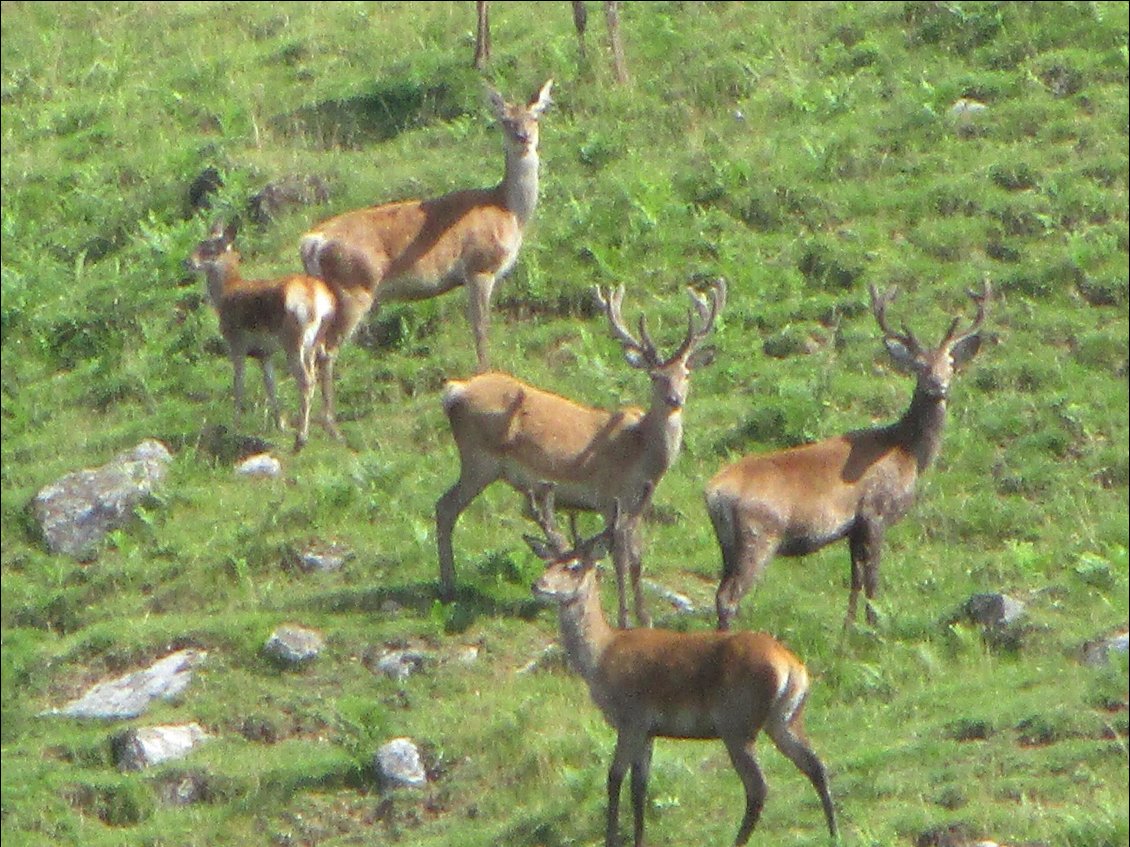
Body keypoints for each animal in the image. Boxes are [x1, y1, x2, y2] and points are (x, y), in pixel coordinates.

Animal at [186, 222, 339, 453]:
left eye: (210, 247)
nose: (188, 262)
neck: (226, 293)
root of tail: (317, 298)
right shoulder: (264, 352)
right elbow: (270, 384)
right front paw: (280, 425)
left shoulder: (236, 343)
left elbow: (238, 382)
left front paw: (234, 425)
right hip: (316, 341)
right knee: (320, 371)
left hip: (293, 340)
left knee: (306, 379)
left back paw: (301, 439)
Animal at [296, 76, 551, 424]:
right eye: (505, 120)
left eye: (535, 117)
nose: (523, 138)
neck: (507, 210)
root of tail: (312, 242)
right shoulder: (479, 266)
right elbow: (480, 327)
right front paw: (485, 374)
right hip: (353, 288)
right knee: (325, 350)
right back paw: (330, 421)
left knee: (306, 354)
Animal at [431, 282, 723, 627]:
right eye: (655, 376)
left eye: (686, 374)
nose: (675, 399)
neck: (641, 452)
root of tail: (453, 391)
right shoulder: (609, 495)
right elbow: (619, 558)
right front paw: (624, 618)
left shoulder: (638, 502)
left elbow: (637, 558)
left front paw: (645, 618)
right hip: (479, 459)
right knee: (445, 506)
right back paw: (448, 586)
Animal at [528, 483, 840, 847]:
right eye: (548, 561)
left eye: (575, 566)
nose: (538, 585)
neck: (601, 657)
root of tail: (792, 668)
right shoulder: (650, 729)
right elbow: (639, 787)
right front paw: (638, 839)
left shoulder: (632, 717)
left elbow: (614, 778)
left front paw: (611, 838)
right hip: (785, 718)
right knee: (816, 765)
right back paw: (834, 833)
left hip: (737, 721)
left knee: (759, 787)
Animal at [709, 283, 994, 632]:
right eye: (918, 366)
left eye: (950, 364)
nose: (938, 385)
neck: (907, 452)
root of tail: (714, 493)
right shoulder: (875, 512)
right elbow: (872, 577)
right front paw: (875, 627)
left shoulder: (853, 527)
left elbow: (855, 578)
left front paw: (848, 628)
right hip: (759, 535)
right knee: (729, 596)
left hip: (728, 546)